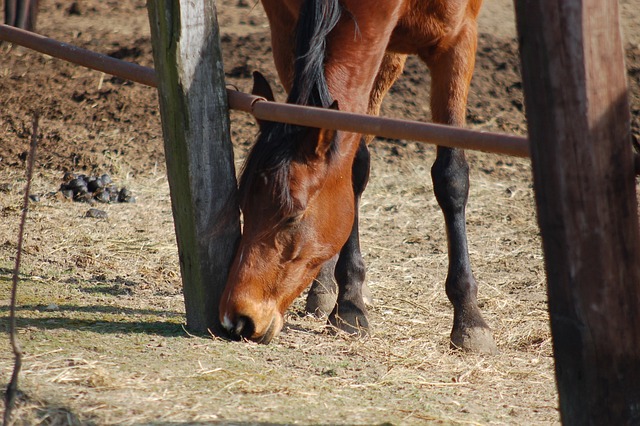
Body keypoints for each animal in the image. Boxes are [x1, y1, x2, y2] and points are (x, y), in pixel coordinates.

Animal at [218, 0, 498, 352]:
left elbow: (452, 176)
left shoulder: (458, 40)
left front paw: (470, 319)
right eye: (243, 206)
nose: (238, 318)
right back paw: (324, 290)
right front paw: (349, 305)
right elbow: (352, 170)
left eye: (292, 216)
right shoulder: (288, 29)